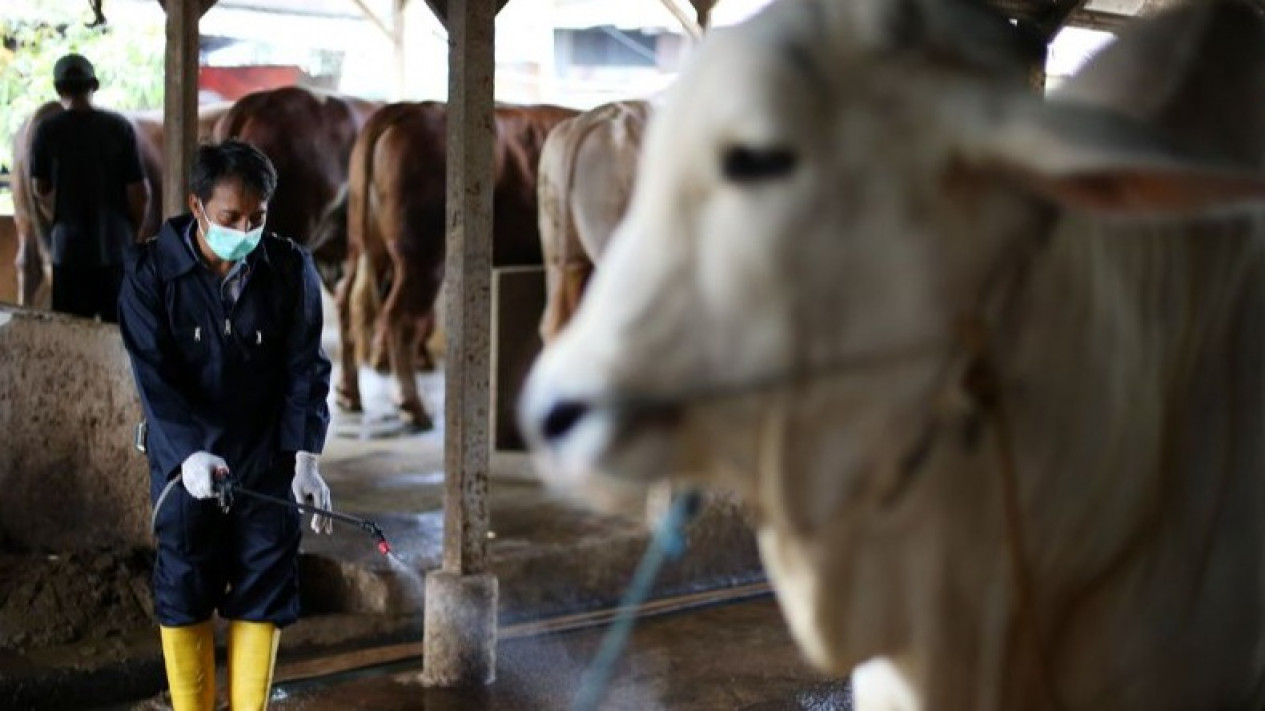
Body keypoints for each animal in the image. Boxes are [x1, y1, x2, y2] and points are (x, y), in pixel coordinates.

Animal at [333, 99, 576, 425]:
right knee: (400, 317)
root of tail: (407, 108)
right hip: (422, 257)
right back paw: (412, 404)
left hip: (365, 246)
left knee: (347, 301)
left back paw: (348, 393)